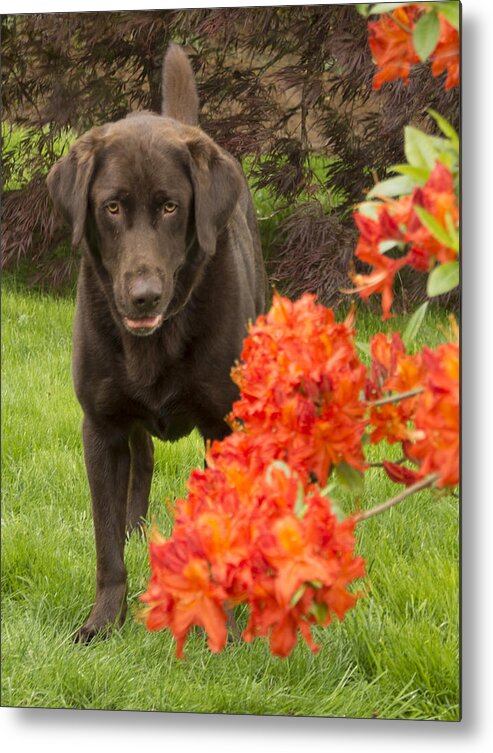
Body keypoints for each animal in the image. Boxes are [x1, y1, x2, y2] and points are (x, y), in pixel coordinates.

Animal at [47, 44, 266, 640]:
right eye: (111, 207)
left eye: (171, 207)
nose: (143, 296)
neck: (159, 338)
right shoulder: (100, 428)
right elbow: (106, 545)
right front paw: (103, 622)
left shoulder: (223, 427)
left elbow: (221, 529)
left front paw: (223, 620)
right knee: (140, 467)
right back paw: (137, 534)